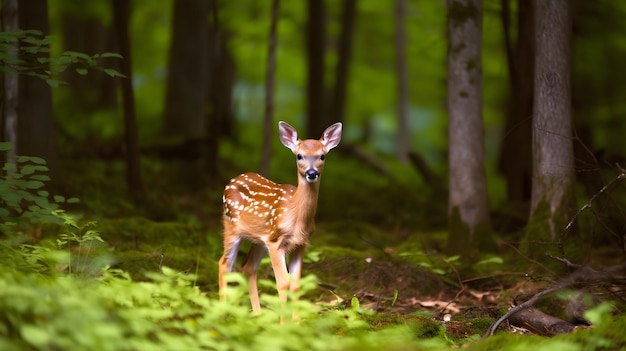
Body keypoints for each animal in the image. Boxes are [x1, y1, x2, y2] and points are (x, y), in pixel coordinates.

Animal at [218, 121, 342, 314]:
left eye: (322, 156)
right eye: (299, 155)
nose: (312, 173)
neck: (296, 216)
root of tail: (232, 180)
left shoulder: (300, 243)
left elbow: (296, 285)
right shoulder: (276, 242)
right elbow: (283, 283)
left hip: (260, 239)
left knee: (248, 267)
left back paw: (258, 314)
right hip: (231, 226)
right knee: (224, 264)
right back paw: (221, 312)